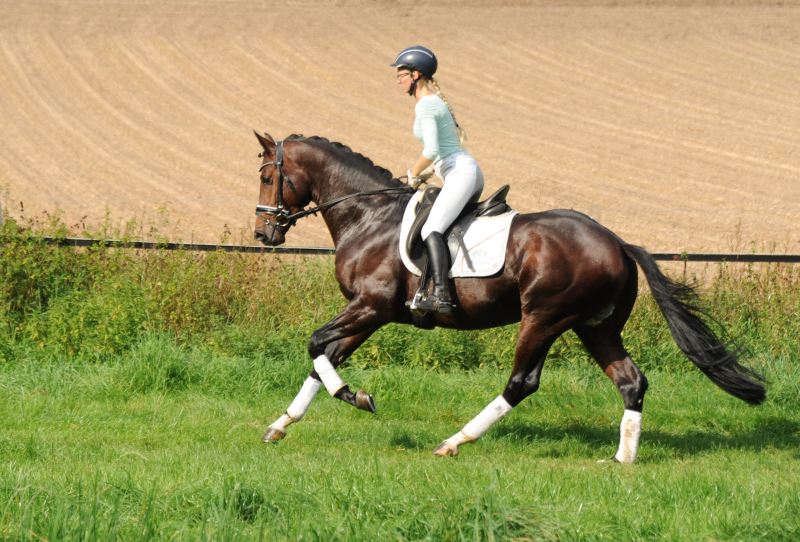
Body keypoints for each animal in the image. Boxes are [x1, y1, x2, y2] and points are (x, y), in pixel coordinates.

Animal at [253, 131, 764, 464]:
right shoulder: (371, 313)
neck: (368, 215)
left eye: (265, 175)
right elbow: (325, 355)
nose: (263, 234)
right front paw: (282, 424)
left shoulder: (370, 306)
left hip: (544, 318)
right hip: (595, 326)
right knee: (631, 382)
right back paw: (623, 460)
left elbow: (316, 345)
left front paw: (355, 396)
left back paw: (454, 442)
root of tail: (617, 243)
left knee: (522, 382)